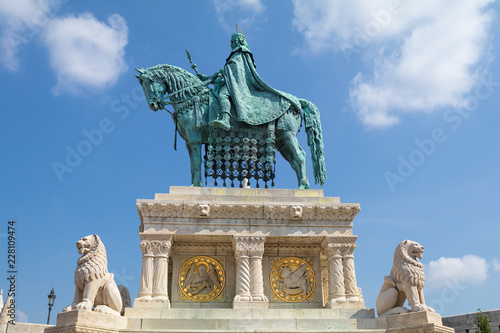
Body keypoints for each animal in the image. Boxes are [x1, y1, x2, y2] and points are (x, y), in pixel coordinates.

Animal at [135, 63, 326, 188]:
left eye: (148, 83)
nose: (153, 105)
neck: (191, 96)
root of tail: (298, 101)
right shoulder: (188, 141)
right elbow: (192, 164)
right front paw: (195, 184)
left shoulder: (194, 136)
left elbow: (196, 161)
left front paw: (195, 186)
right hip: (280, 140)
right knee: (294, 160)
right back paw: (303, 186)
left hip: (288, 134)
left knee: (300, 155)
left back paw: (302, 187)